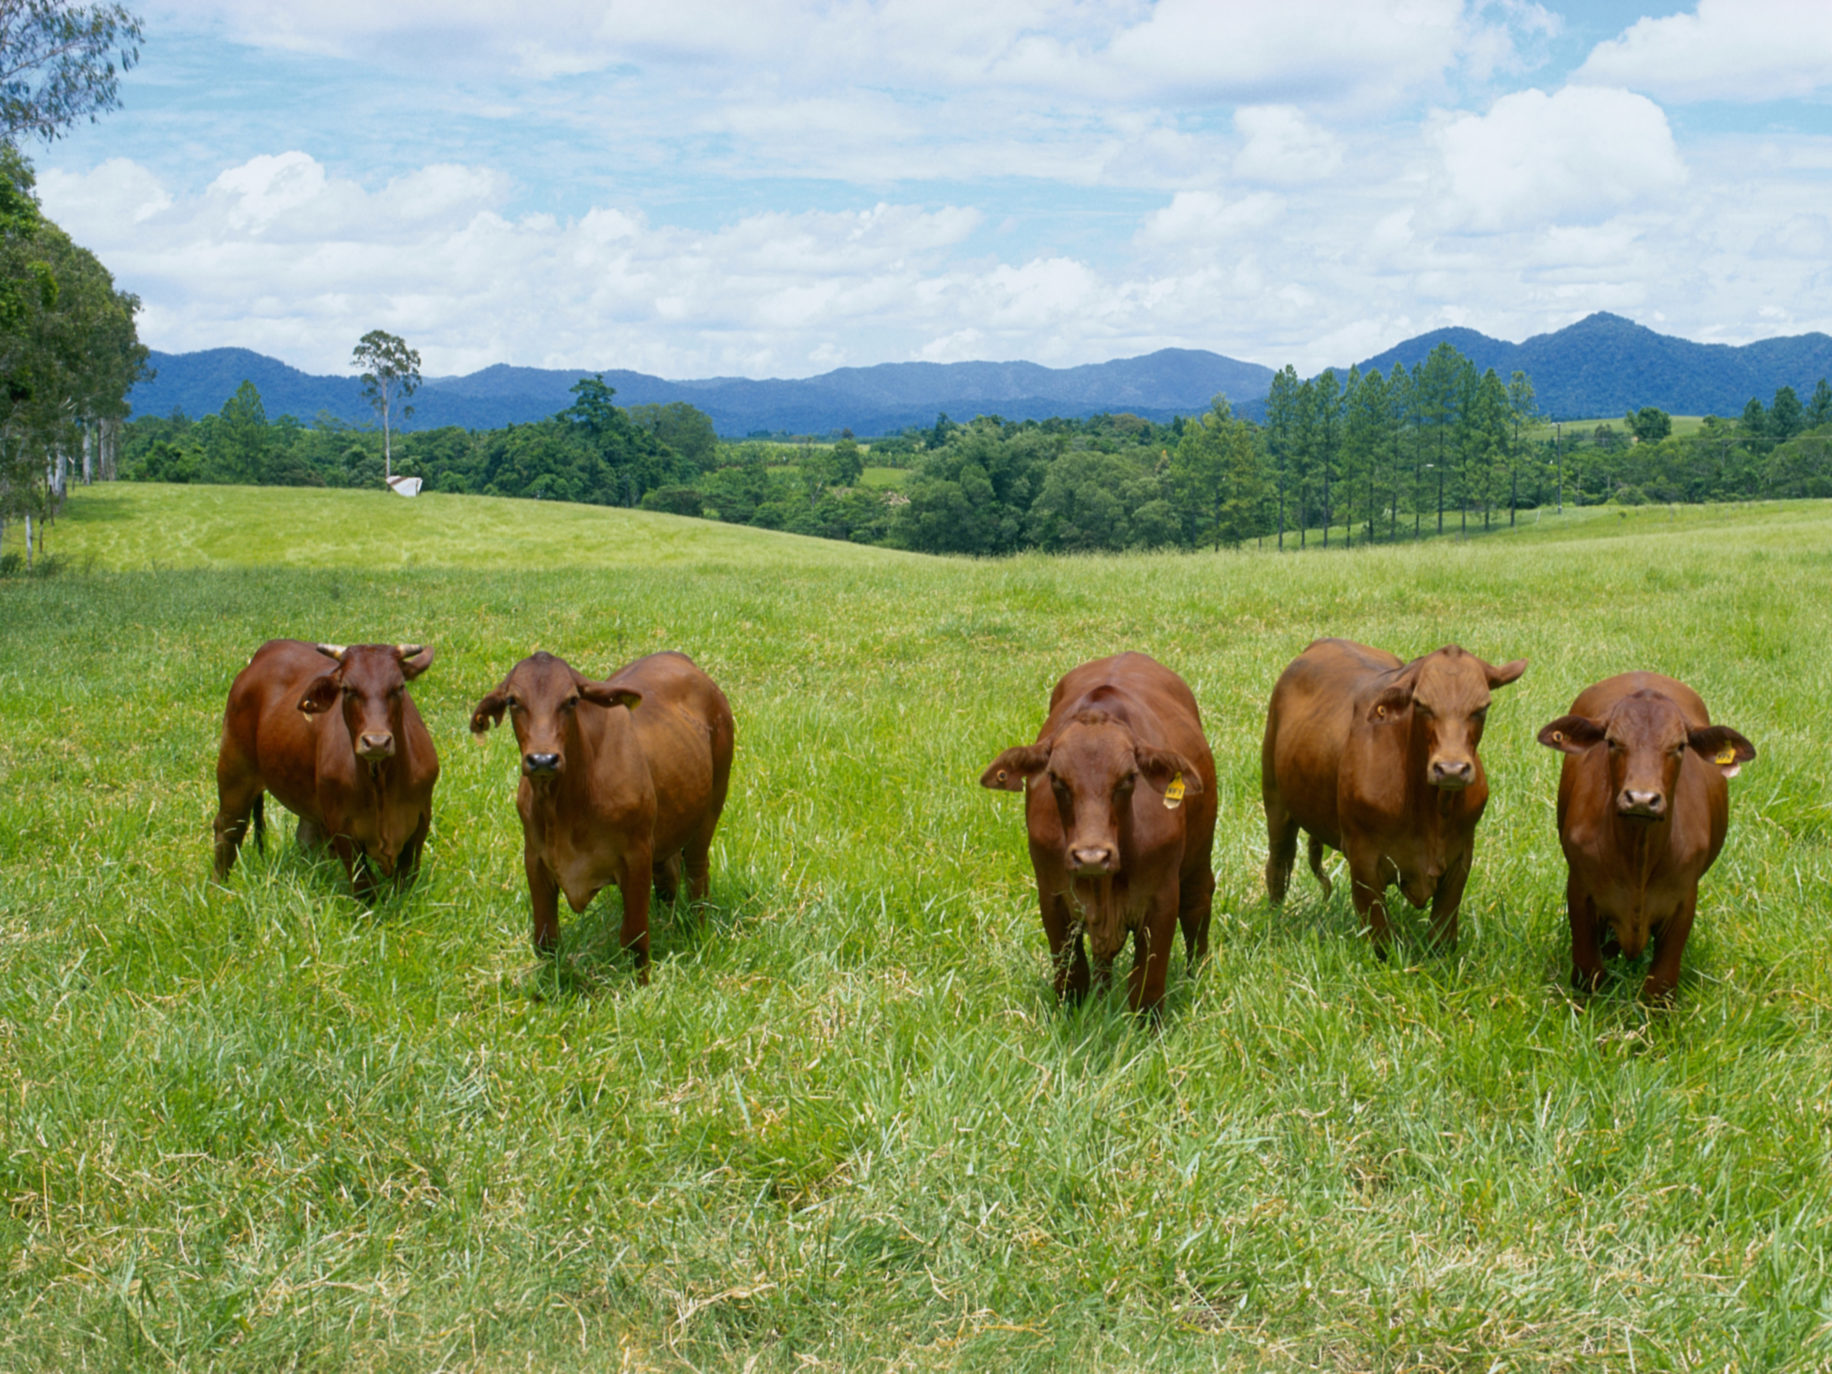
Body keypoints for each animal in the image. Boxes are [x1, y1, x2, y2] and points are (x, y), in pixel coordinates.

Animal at [213, 641, 439, 897]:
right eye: (347, 689)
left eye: (399, 687)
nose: (376, 741)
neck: (380, 782)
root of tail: (266, 649)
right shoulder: (341, 827)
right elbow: (364, 886)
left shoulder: (420, 818)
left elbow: (405, 880)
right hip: (234, 770)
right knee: (228, 830)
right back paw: (217, 889)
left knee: (306, 837)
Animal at [468, 652, 732, 974]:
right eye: (512, 701)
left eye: (571, 700)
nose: (542, 759)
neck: (563, 807)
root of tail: (676, 656)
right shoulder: (535, 858)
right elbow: (545, 940)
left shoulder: (637, 856)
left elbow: (634, 937)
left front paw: (641, 982)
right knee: (668, 877)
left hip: (711, 806)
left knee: (696, 873)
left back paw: (697, 932)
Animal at [974, 652, 1216, 1018]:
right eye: (1056, 778)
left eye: (1129, 777)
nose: (1091, 856)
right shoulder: (1053, 896)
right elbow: (1072, 978)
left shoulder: (1162, 898)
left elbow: (1147, 986)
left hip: (1200, 858)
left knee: (1198, 908)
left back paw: (1197, 977)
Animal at [1260, 641, 1531, 952]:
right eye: (1421, 704)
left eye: (1482, 707)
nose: (1451, 769)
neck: (1429, 811)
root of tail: (1323, 642)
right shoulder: (1362, 857)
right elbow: (1381, 940)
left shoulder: (1461, 854)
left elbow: (1442, 933)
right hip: (1275, 801)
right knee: (1279, 865)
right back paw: (1275, 917)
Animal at [1538, 674, 1751, 1003]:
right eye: (1612, 741)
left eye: (1680, 746)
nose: (1641, 799)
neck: (1638, 854)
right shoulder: (1581, 891)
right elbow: (1589, 973)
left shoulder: (1683, 901)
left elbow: (1659, 987)